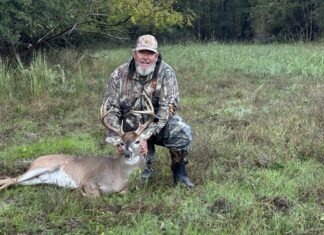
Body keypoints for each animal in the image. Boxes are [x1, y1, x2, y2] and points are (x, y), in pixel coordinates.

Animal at [0, 92, 153, 197]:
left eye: (138, 141)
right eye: (121, 143)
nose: (127, 153)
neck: (119, 174)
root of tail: (35, 160)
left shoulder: (126, 189)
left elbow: (123, 192)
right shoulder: (89, 180)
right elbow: (96, 194)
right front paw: (80, 192)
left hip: (37, 179)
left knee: (13, 180)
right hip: (42, 167)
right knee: (12, 179)